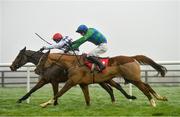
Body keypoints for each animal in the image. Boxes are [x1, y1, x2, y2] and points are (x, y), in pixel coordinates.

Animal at [34, 50, 167, 107]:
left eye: (42, 59)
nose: (36, 70)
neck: (73, 63)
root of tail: (131, 57)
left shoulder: (71, 82)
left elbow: (58, 93)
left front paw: (45, 103)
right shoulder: (83, 84)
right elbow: (87, 98)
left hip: (132, 78)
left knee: (144, 88)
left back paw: (153, 102)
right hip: (133, 78)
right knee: (147, 85)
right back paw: (160, 98)